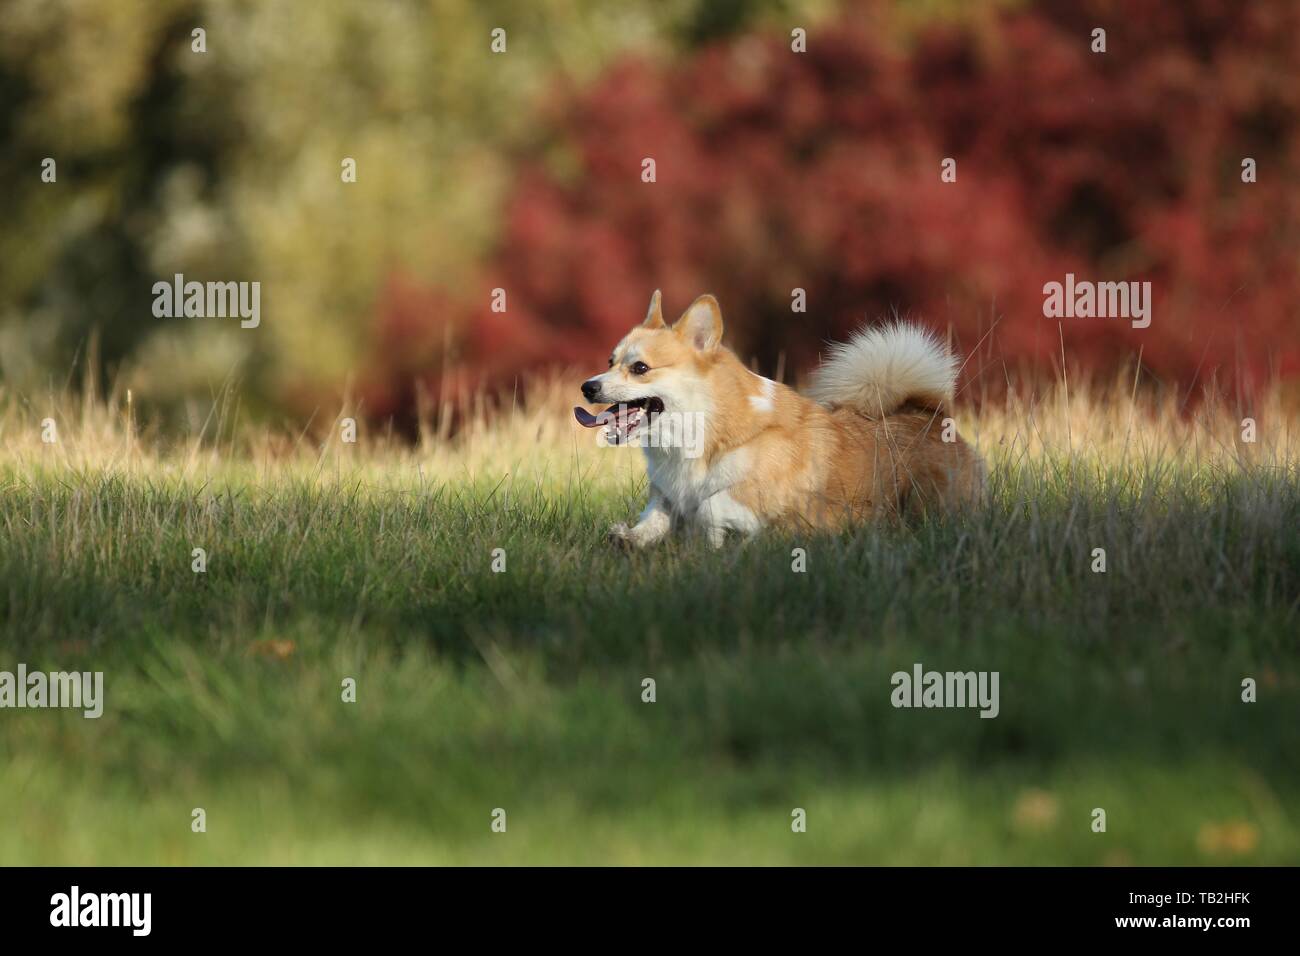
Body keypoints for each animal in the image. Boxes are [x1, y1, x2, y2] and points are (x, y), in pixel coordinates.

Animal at [574, 290, 977, 546]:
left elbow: (709, 505)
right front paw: (629, 537)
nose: (587, 387)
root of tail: (930, 413)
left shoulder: (756, 497)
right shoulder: (666, 494)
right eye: (610, 361)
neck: (703, 428)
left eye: (640, 368)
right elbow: (655, 516)